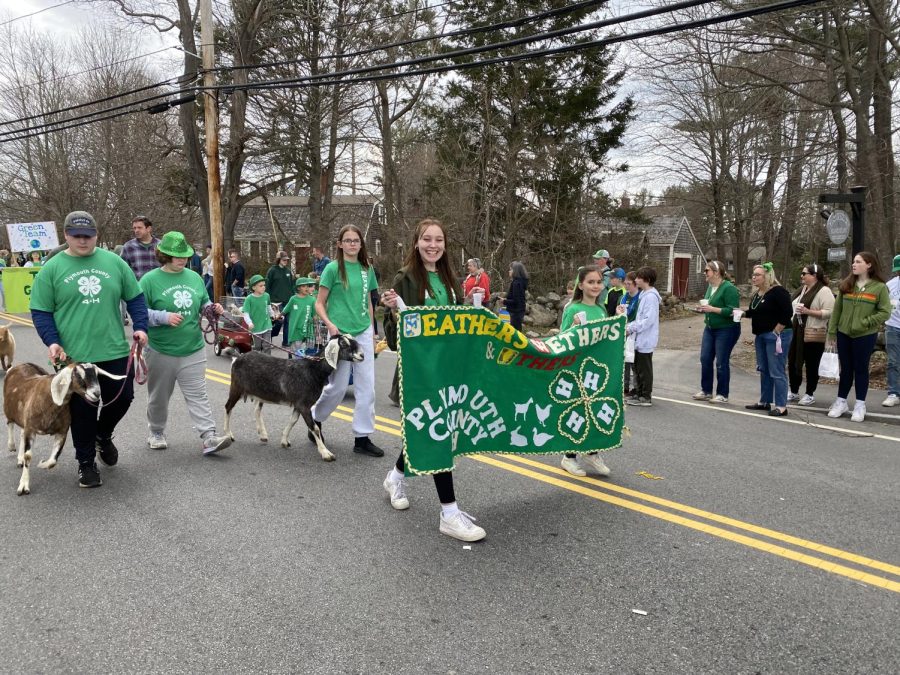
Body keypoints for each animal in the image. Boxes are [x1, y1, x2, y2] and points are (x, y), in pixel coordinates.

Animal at [3, 364, 125, 496]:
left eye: (97, 375)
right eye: (79, 376)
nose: (96, 393)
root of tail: (23, 364)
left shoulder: (62, 432)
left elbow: (53, 460)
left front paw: (42, 464)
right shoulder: (30, 429)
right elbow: (28, 456)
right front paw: (23, 486)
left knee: (21, 432)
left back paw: (19, 459)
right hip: (10, 410)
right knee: (10, 424)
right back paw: (11, 446)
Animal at [223, 336, 364, 462]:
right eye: (344, 344)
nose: (362, 355)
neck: (313, 370)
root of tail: (238, 357)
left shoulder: (298, 404)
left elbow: (293, 421)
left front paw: (284, 441)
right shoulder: (304, 405)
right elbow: (314, 428)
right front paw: (326, 453)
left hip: (260, 392)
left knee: (256, 409)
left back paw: (263, 435)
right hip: (236, 388)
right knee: (228, 407)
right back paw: (228, 434)